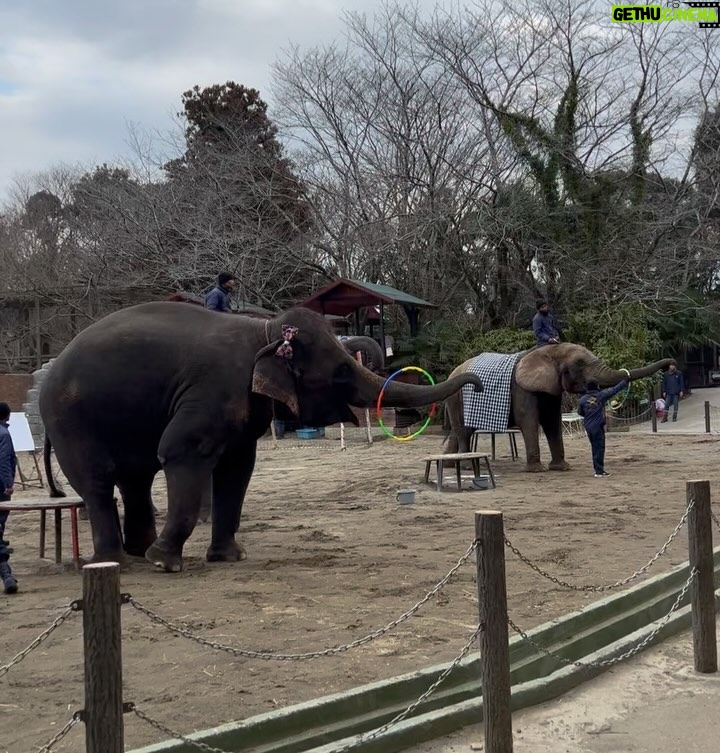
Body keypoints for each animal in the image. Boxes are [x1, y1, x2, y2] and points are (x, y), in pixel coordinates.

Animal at [40, 302, 483, 572]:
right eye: (340, 372)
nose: (475, 383)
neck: (265, 330)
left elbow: (239, 467)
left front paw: (229, 558)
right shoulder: (213, 388)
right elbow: (182, 451)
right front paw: (165, 563)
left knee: (135, 478)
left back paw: (134, 553)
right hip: (69, 421)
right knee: (98, 481)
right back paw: (117, 562)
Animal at [443, 343, 674, 472]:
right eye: (579, 364)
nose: (671, 364)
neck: (548, 350)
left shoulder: (550, 389)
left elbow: (552, 421)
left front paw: (561, 468)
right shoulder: (521, 388)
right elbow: (528, 420)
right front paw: (536, 471)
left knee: (459, 431)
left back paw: (449, 465)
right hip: (456, 398)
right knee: (463, 431)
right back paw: (466, 466)